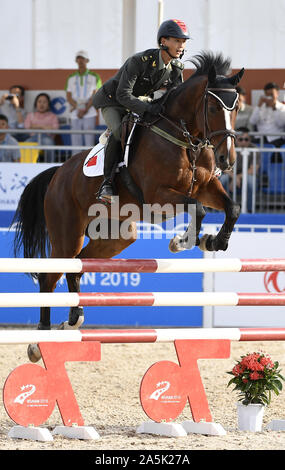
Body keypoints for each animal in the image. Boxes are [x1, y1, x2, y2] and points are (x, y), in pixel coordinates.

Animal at [12, 51, 244, 360]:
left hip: (117, 236)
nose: (227, 160)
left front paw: (213, 242)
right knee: (51, 276)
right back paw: (39, 342)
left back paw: (73, 319)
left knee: (78, 265)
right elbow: (199, 209)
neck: (183, 138)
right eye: (213, 106)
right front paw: (182, 241)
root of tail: (57, 173)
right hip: (66, 233)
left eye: (237, 107)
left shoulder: (206, 187)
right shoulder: (159, 195)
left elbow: (232, 208)